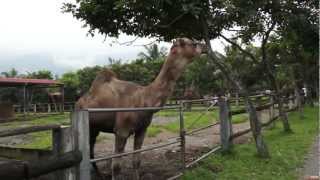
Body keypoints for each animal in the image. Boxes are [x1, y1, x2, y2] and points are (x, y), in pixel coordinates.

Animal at [76, 37, 204, 179]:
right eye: (192, 43)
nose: (204, 46)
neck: (144, 99)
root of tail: (78, 102)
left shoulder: (142, 130)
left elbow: (136, 161)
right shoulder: (121, 131)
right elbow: (116, 166)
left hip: (95, 128)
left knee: (91, 149)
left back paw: (99, 174)